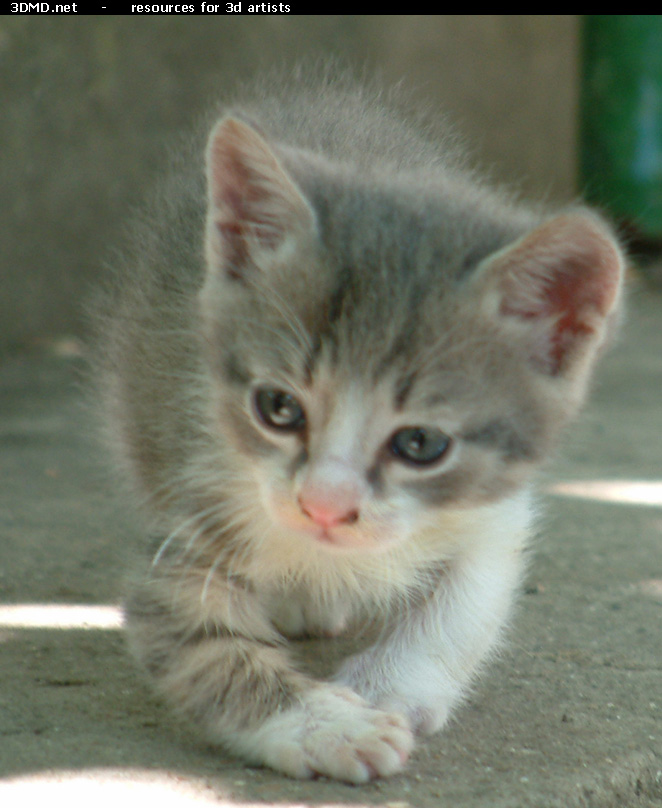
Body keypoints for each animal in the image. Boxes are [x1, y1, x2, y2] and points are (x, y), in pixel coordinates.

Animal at [94, 71, 628, 784]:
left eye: (421, 444)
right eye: (278, 407)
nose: (323, 506)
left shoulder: (495, 507)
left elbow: (467, 600)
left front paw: (391, 685)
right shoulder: (189, 502)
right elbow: (203, 649)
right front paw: (327, 725)